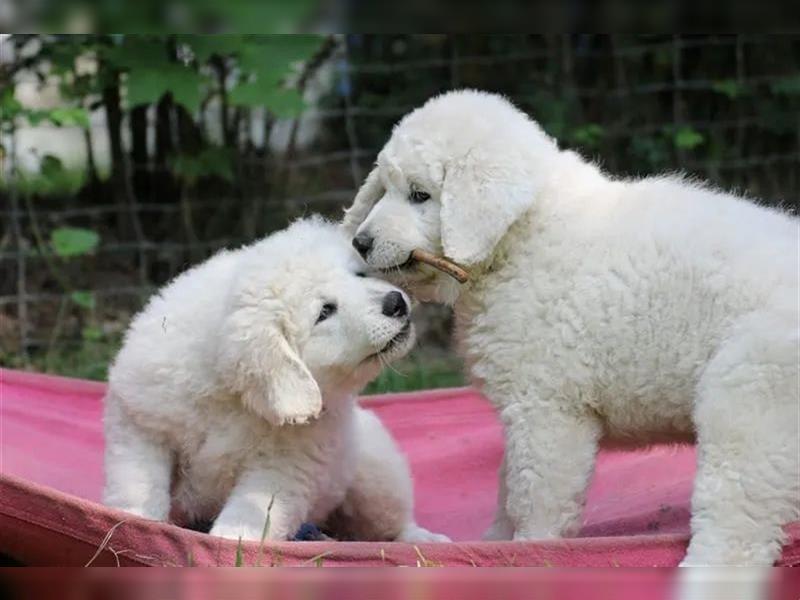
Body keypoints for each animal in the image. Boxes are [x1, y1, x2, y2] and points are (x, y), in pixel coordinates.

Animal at [103, 217, 446, 544]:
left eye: (359, 275)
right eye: (325, 312)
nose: (395, 302)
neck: (232, 393)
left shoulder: (284, 464)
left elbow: (253, 510)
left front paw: (231, 541)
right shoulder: (142, 426)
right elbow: (139, 482)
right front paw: (132, 524)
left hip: (375, 476)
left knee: (391, 523)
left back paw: (421, 538)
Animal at [344, 90, 800, 568]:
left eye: (420, 195)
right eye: (384, 188)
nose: (360, 242)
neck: (520, 237)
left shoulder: (547, 409)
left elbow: (535, 495)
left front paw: (528, 550)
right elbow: (508, 484)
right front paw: (492, 543)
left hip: (750, 398)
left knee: (736, 518)